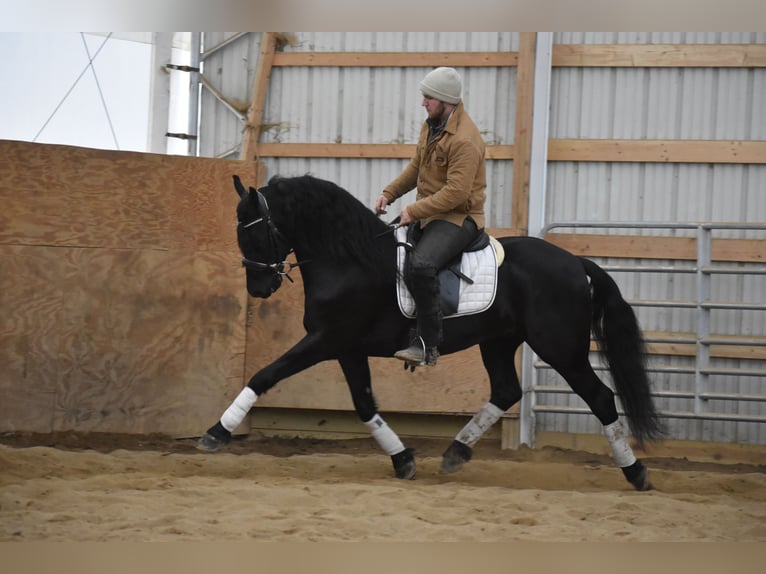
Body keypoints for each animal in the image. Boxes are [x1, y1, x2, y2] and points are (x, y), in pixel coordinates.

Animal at [198, 174, 664, 490]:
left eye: (255, 232)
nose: (258, 288)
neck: (348, 258)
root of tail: (574, 263)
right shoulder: (347, 348)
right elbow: (364, 404)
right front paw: (402, 458)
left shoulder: (326, 340)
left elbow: (264, 375)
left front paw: (216, 432)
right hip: (498, 342)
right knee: (506, 391)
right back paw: (456, 452)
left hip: (560, 348)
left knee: (600, 397)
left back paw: (636, 472)